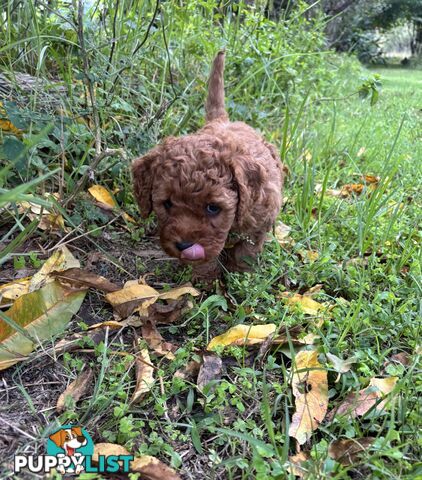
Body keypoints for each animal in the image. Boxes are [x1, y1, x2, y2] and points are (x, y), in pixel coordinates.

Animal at [132, 51, 284, 282]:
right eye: (167, 203)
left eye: (213, 208)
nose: (184, 245)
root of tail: (221, 120)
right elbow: (206, 260)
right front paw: (204, 279)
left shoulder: (258, 226)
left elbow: (244, 253)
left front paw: (240, 278)